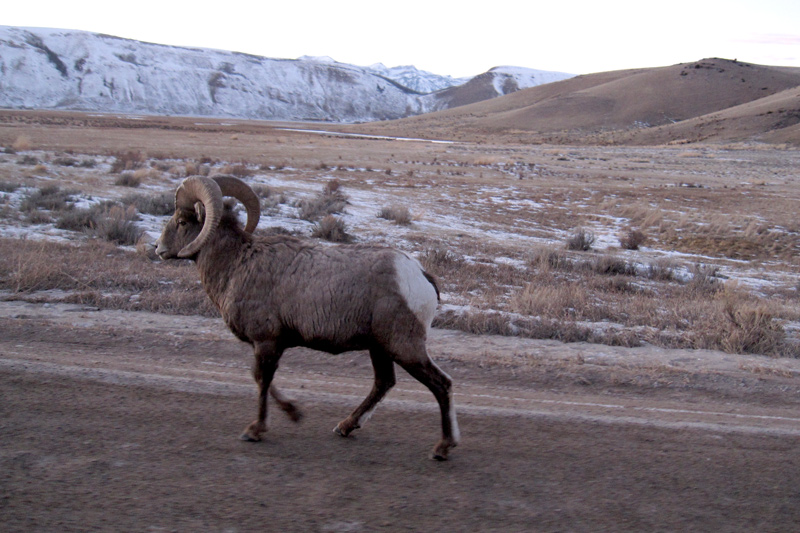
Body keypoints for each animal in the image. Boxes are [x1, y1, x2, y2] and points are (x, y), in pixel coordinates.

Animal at [155, 175, 460, 458]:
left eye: (182, 221)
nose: (158, 249)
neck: (235, 265)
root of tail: (420, 275)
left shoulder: (266, 342)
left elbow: (262, 380)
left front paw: (255, 430)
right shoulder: (270, 344)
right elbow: (261, 378)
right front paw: (294, 413)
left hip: (404, 348)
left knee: (441, 384)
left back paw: (443, 447)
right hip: (380, 348)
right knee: (383, 383)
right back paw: (345, 427)